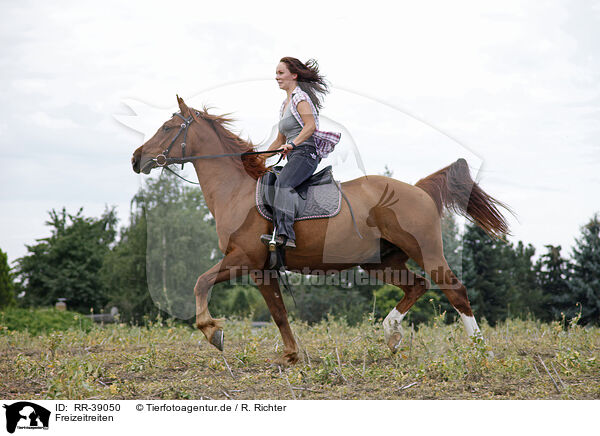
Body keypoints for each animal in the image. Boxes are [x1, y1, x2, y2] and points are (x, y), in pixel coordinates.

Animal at [131, 95, 510, 364]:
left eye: (167, 128)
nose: (136, 158)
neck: (236, 190)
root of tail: (418, 189)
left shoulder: (243, 259)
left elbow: (201, 282)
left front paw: (213, 333)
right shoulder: (261, 269)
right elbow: (279, 313)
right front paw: (290, 355)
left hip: (426, 251)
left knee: (455, 290)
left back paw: (483, 352)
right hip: (381, 262)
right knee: (417, 285)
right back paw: (391, 334)